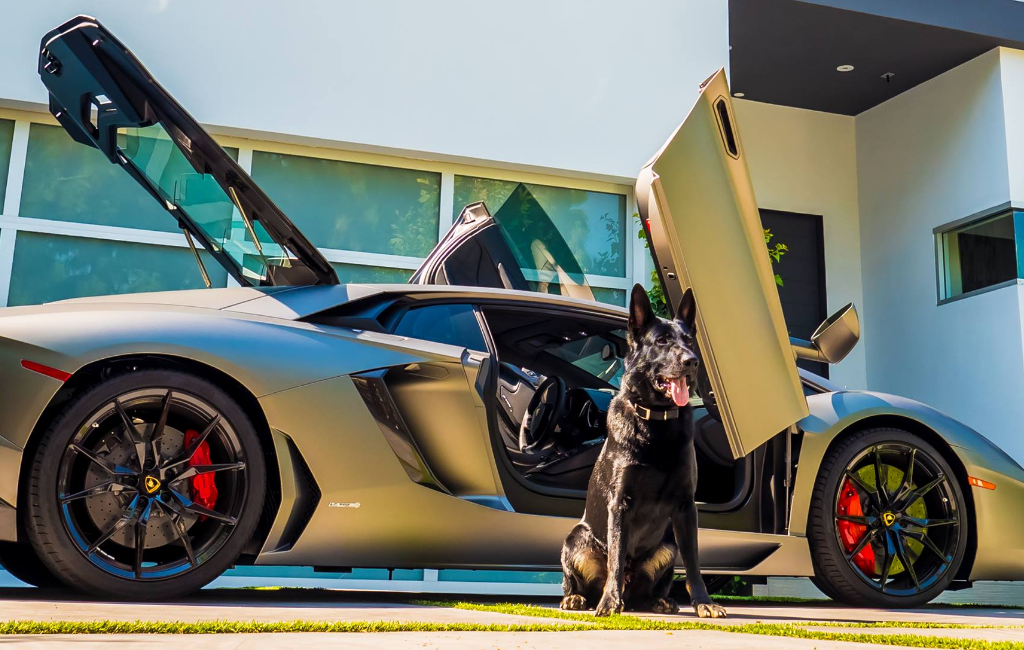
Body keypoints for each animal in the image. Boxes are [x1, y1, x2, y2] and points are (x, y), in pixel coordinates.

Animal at [565, 284, 724, 622]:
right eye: (662, 341)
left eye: (688, 340)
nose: (692, 360)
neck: (657, 422)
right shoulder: (619, 504)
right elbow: (615, 558)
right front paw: (610, 602)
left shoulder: (686, 507)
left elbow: (694, 562)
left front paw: (703, 602)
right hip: (576, 539)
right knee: (580, 580)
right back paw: (578, 599)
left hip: (667, 544)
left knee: (653, 587)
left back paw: (660, 601)